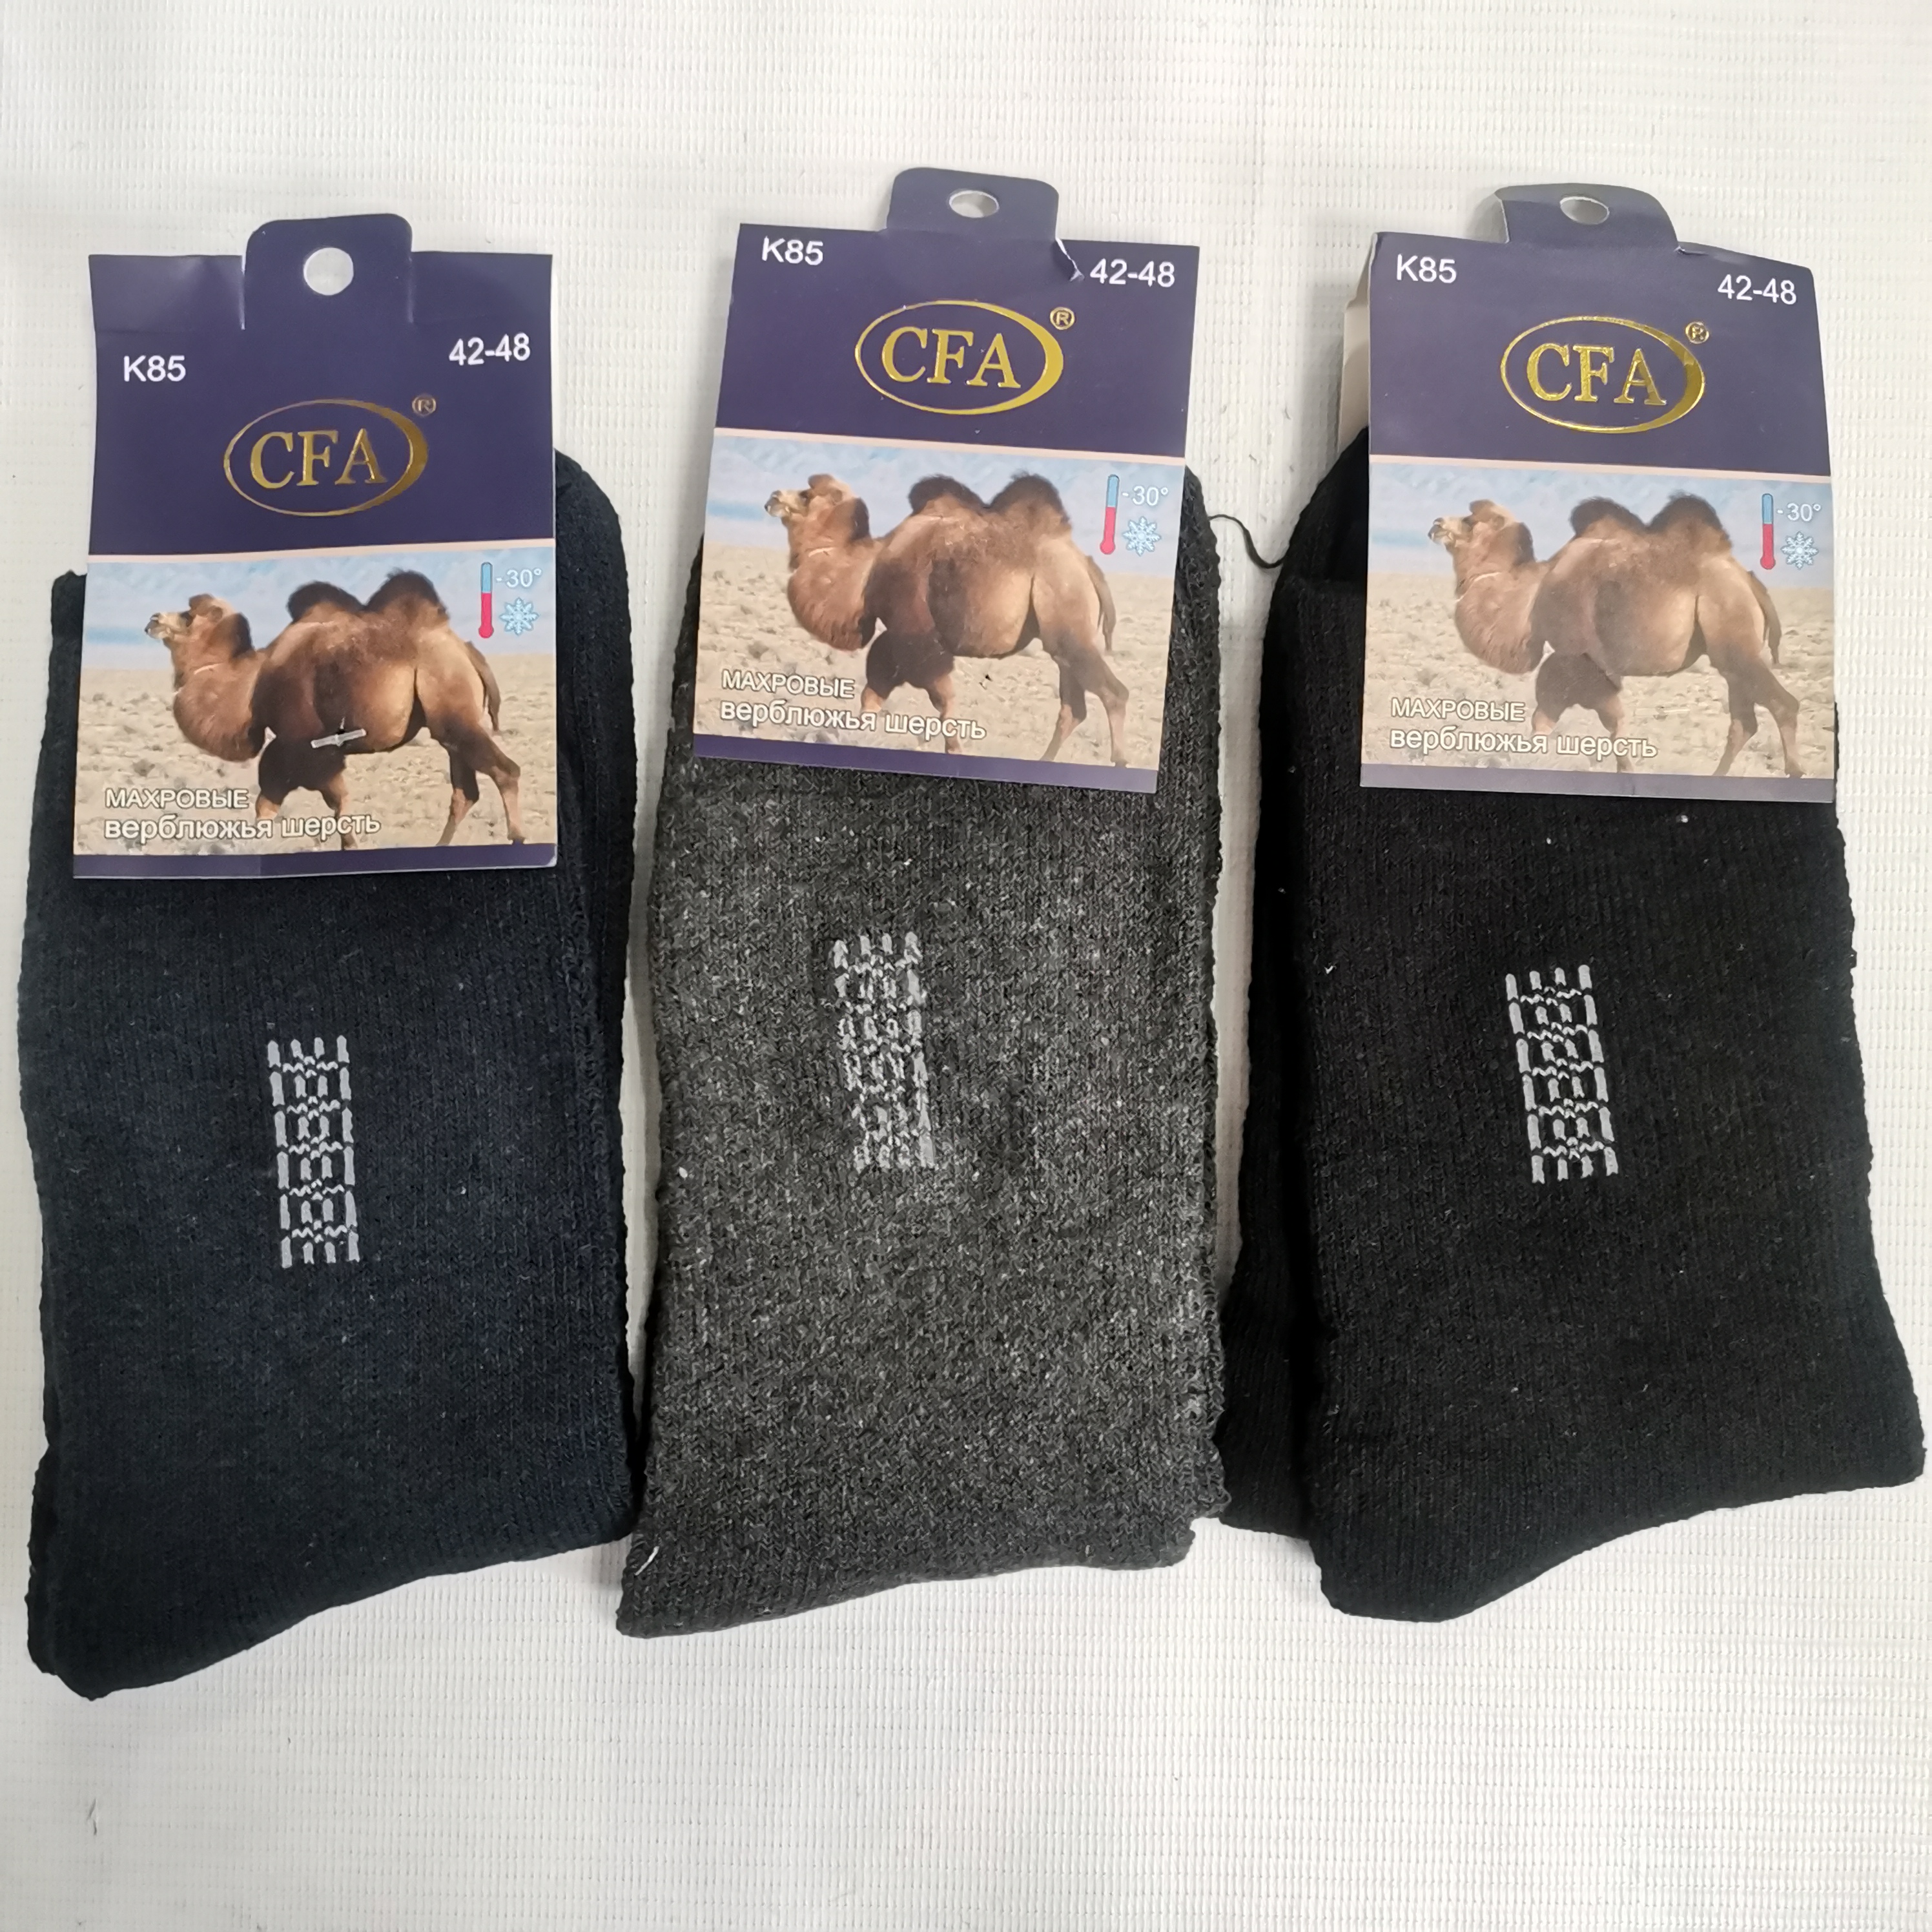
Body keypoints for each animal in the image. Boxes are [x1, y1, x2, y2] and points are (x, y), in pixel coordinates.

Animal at [146, 572, 522, 850]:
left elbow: (331, 802)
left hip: (450, 698)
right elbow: (268, 803)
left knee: (506, 771)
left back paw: (518, 838)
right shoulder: (290, 748)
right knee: (465, 791)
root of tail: (466, 651)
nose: (153, 619)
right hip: (450, 722)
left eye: (188, 615)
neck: (253, 682)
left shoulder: (305, 743)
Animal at [1429, 494, 1798, 778]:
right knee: (1743, 722)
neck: (1533, 595)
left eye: (1470, 521)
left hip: (1732, 630)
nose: (1436, 524)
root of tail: (1748, 581)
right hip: (1731, 655)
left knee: (1783, 705)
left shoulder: (1577, 657)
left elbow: (1598, 721)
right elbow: (1553, 721)